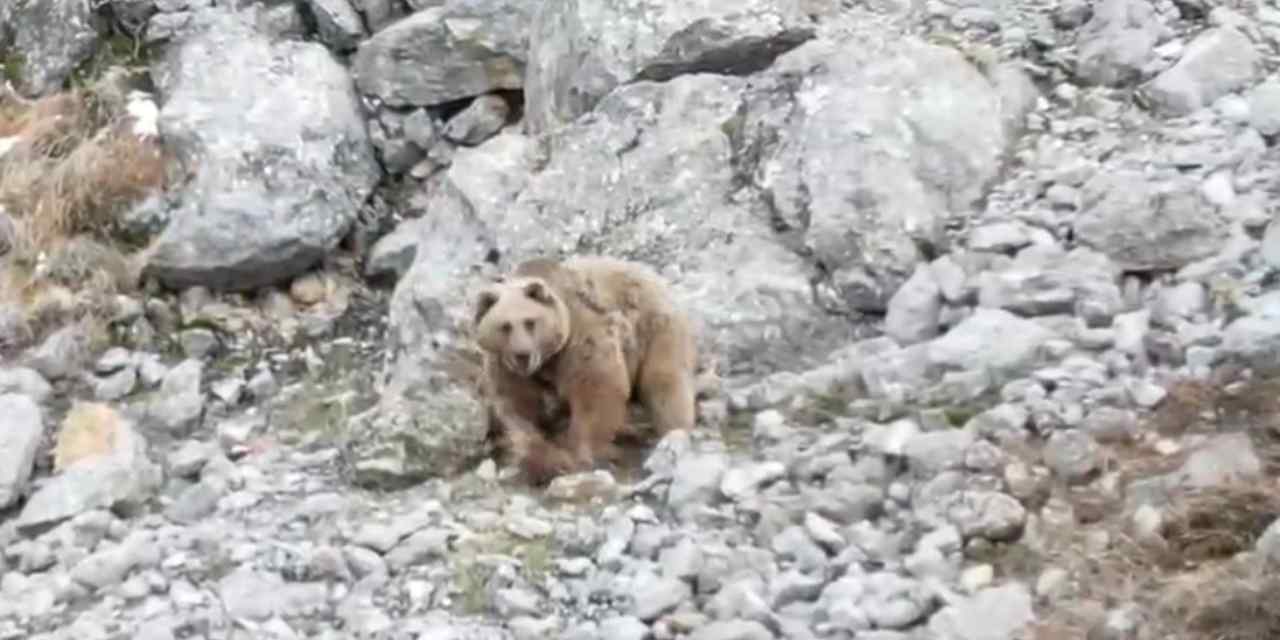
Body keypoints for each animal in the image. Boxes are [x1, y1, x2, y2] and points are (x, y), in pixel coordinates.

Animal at [468, 254, 696, 483]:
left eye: (530, 322)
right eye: (505, 326)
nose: (522, 354)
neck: (547, 360)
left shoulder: (582, 337)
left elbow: (596, 389)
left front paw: (578, 456)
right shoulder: (507, 367)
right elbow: (518, 408)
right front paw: (545, 460)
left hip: (653, 328)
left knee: (664, 382)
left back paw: (671, 433)